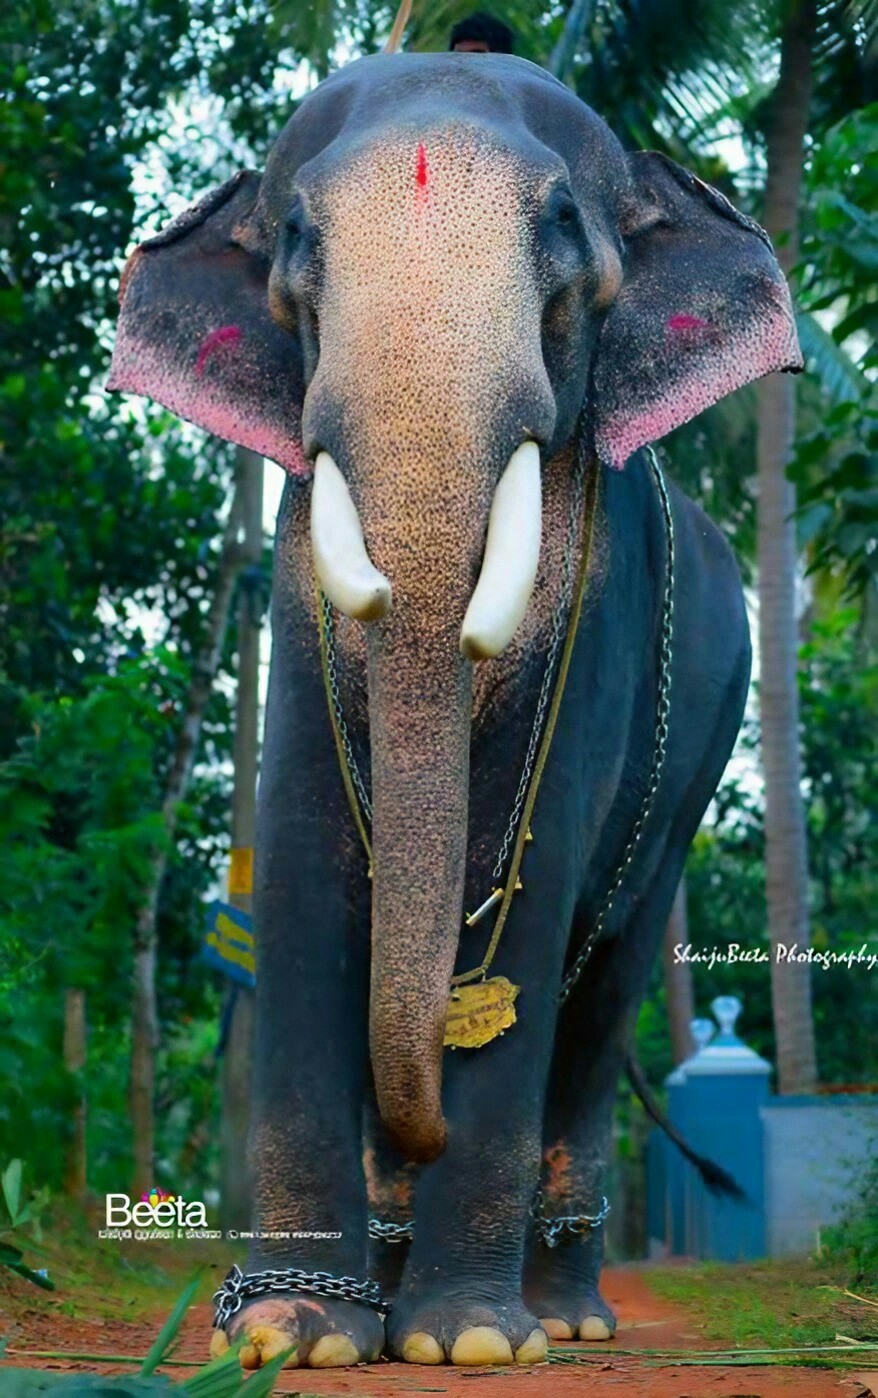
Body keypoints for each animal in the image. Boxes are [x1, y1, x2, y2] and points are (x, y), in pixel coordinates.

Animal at [109, 51, 805, 1364]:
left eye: (562, 230)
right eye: (295, 239)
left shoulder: (602, 611)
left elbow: (525, 887)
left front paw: (466, 1342)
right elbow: (302, 863)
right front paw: (292, 1336)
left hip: (694, 777)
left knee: (603, 997)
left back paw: (563, 1317)